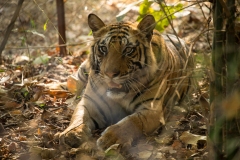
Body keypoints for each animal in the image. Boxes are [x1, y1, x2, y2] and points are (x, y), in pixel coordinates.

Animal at [56, 13, 195, 150]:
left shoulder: (152, 110)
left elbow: (132, 122)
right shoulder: (90, 102)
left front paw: (110, 139)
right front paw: (72, 133)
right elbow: (79, 118)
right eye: (103, 49)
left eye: (128, 50)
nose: (110, 74)